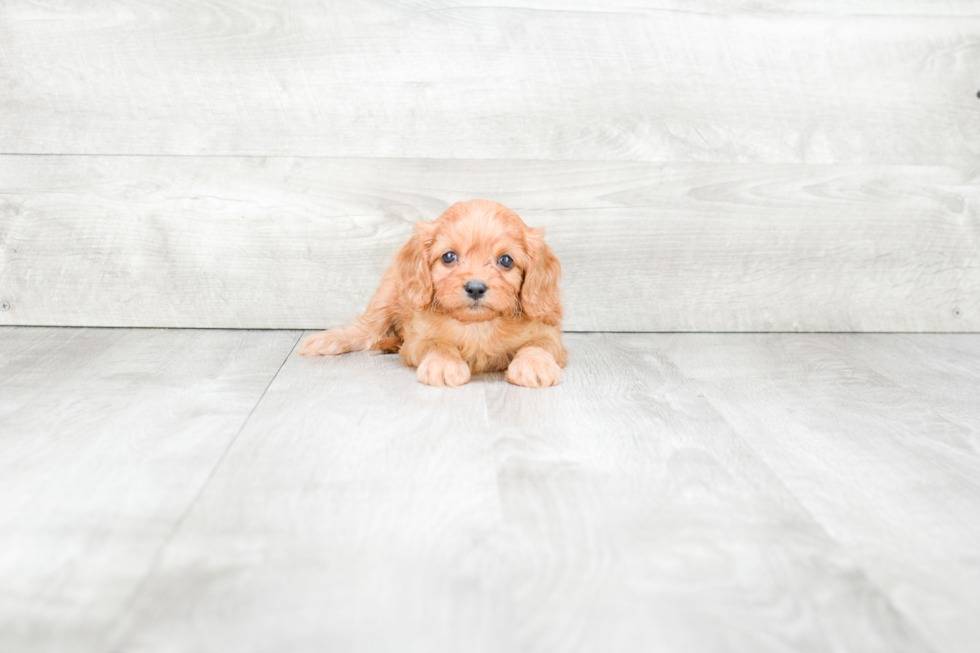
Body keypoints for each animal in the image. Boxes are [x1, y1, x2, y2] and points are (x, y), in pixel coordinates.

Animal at [302, 199, 572, 388]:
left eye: (506, 260)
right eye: (449, 256)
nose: (476, 287)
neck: (477, 326)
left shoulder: (548, 333)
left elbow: (538, 344)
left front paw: (534, 365)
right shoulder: (418, 338)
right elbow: (438, 344)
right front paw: (444, 365)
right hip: (387, 296)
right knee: (365, 329)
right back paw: (328, 339)